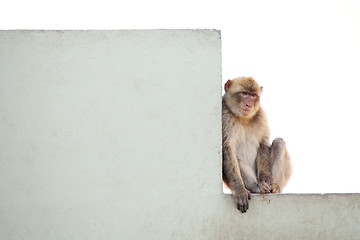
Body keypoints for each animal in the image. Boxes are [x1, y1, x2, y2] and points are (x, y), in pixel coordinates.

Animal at [222, 76, 292, 213]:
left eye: (253, 95)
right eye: (244, 93)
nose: (248, 104)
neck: (243, 118)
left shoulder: (261, 115)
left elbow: (262, 143)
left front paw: (266, 177)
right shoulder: (224, 117)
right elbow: (227, 149)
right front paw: (239, 190)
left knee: (279, 143)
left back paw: (274, 186)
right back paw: (255, 187)